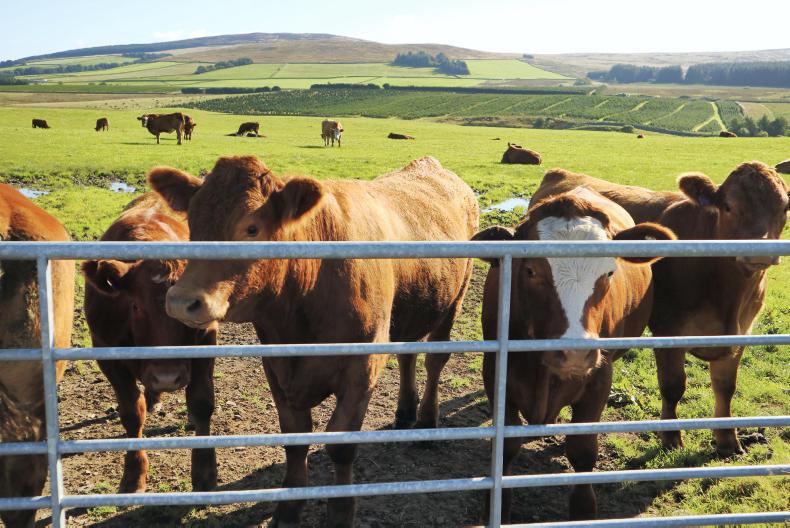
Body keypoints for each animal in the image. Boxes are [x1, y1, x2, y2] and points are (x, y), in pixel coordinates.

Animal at [81, 193, 218, 494]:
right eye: (135, 306)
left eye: (190, 307)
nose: (167, 377)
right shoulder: (105, 351)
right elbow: (133, 412)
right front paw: (134, 475)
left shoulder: (207, 339)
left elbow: (201, 402)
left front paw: (205, 472)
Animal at [149, 155, 478, 527]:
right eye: (193, 222)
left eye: (252, 228)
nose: (181, 301)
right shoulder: (277, 367)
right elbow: (295, 441)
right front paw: (288, 510)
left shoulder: (361, 371)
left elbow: (341, 445)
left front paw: (340, 512)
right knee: (408, 355)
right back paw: (406, 413)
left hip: (455, 299)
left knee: (435, 361)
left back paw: (425, 420)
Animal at [473, 186, 675, 521]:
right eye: (530, 270)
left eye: (609, 271)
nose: (575, 354)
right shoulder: (496, 372)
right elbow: (506, 445)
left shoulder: (600, 378)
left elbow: (582, 449)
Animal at [530, 163, 789, 456]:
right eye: (728, 206)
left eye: (785, 207)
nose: (760, 251)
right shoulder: (669, 329)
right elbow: (673, 385)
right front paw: (671, 438)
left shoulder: (741, 332)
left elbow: (726, 387)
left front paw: (728, 441)